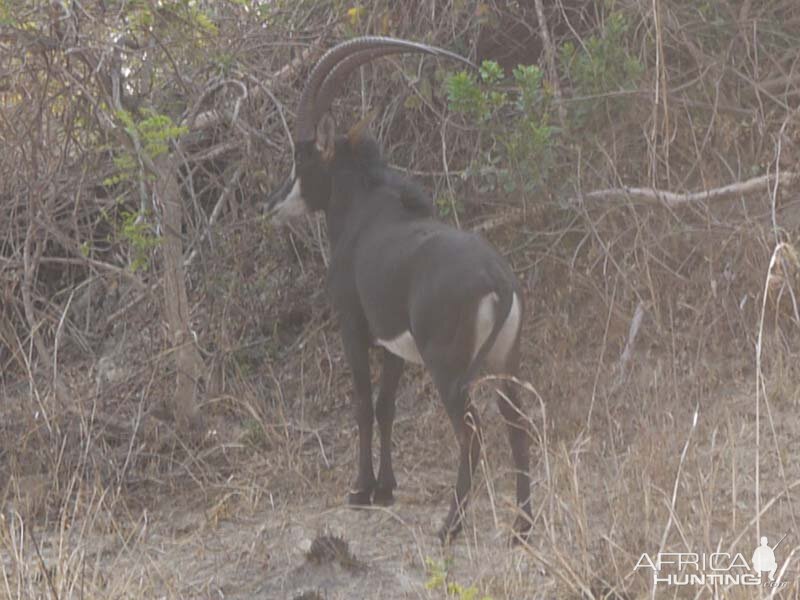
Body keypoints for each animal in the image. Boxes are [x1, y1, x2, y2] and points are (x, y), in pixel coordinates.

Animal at [268, 37, 532, 544]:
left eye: (301, 157)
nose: (273, 206)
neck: (364, 210)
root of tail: (497, 279)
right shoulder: (393, 345)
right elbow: (386, 405)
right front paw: (385, 488)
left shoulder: (352, 328)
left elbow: (362, 405)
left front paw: (360, 490)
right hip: (505, 361)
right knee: (517, 424)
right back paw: (522, 528)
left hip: (448, 368)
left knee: (472, 433)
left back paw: (450, 525)